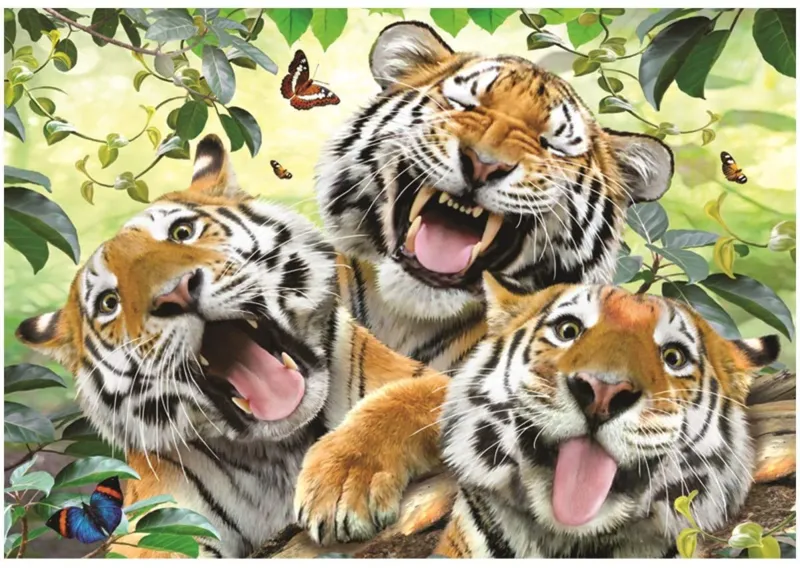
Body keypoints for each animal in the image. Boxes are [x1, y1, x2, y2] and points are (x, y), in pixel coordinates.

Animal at [15, 134, 443, 558]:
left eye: (182, 232)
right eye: (109, 303)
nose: (175, 293)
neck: (284, 447)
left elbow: (401, 401)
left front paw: (343, 483)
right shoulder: (163, 518)